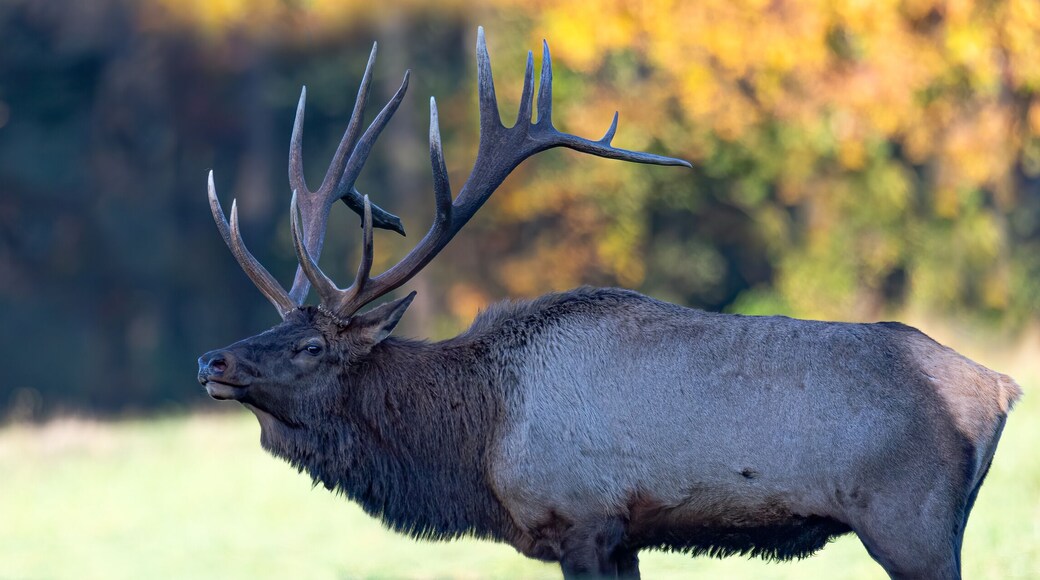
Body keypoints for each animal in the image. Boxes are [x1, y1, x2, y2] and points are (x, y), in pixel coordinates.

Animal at [197, 28, 1021, 580]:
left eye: (310, 347)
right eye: (275, 324)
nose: (212, 360)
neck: (475, 442)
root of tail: (1003, 387)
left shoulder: (582, 517)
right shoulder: (624, 535)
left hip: (909, 521)